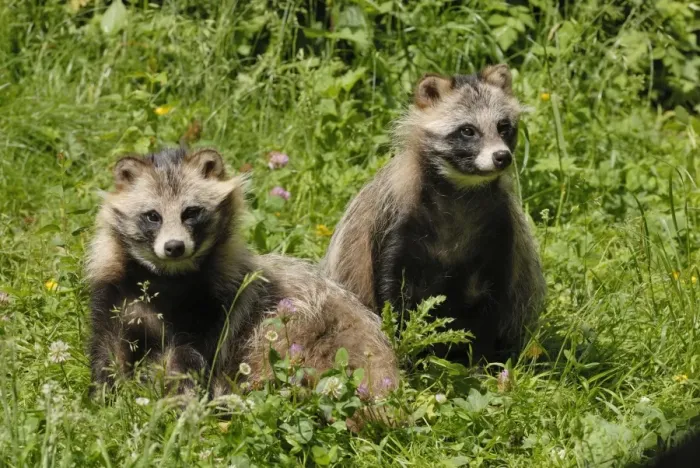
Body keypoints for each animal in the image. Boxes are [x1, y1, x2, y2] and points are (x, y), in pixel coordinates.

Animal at [87, 147, 399, 397]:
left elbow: (187, 356)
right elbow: (109, 348)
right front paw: (106, 395)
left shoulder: (216, 304)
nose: (174, 247)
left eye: (191, 212)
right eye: (153, 216)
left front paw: (180, 396)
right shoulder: (116, 294)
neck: (168, 278)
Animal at [322, 64, 546, 363]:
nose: (502, 157)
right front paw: (403, 348)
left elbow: (493, 297)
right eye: (467, 130)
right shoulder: (397, 220)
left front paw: (481, 360)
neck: (461, 191)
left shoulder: (499, 226)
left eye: (504, 127)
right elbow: (392, 291)